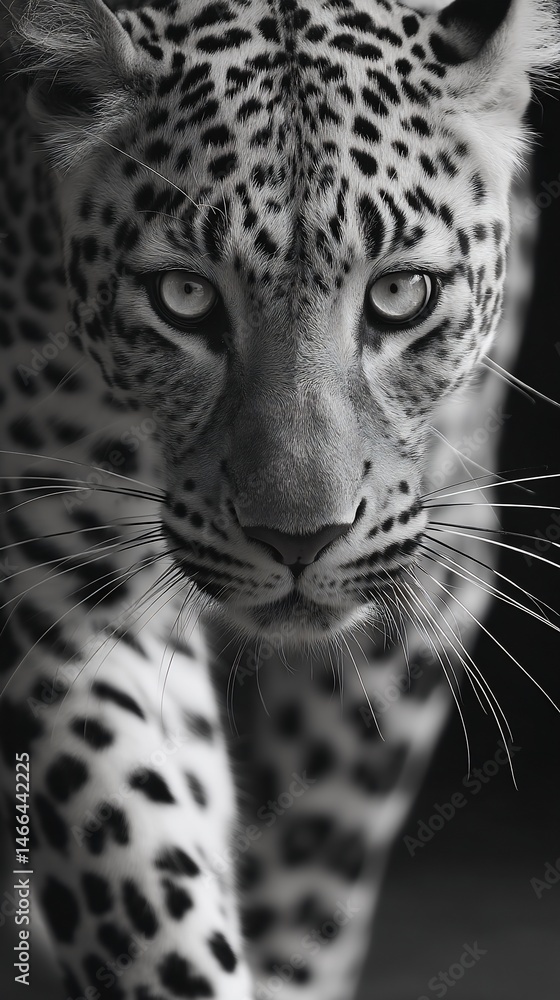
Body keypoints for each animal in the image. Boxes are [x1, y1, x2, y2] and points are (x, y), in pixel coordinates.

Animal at [0, 1, 558, 998]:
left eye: (401, 293)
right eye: (183, 298)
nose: (299, 540)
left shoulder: (419, 593)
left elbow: (313, 874)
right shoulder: (61, 570)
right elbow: (139, 869)